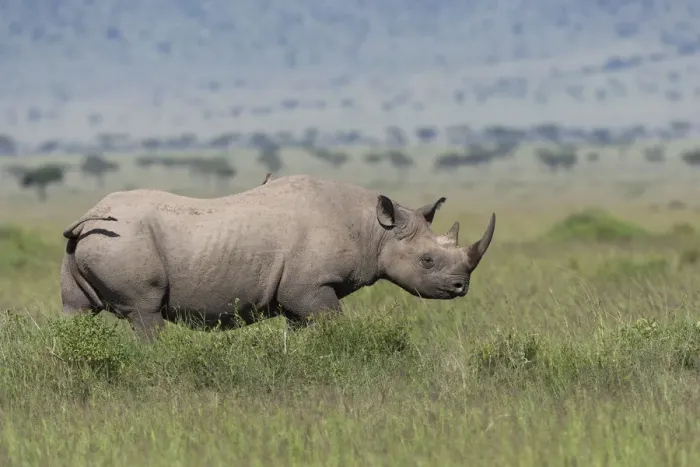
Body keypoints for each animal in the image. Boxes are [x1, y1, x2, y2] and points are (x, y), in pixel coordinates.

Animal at [60, 174, 496, 342]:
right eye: (427, 261)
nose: (461, 287)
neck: (375, 230)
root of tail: (88, 216)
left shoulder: (298, 295)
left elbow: (299, 331)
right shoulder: (310, 287)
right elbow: (333, 324)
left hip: (89, 246)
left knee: (76, 310)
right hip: (123, 242)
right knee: (145, 312)